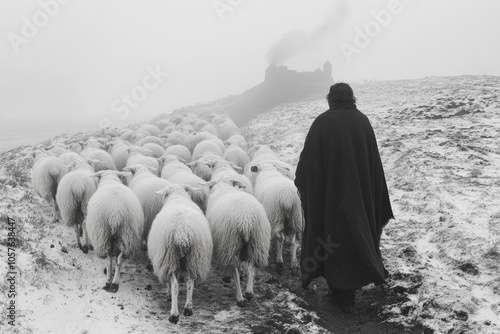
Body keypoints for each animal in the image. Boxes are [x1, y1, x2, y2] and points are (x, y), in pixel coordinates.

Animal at [147, 184, 212, 322]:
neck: (178, 197)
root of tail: (182, 232)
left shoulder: (164, 263)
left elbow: (169, 283)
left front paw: (168, 296)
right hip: (194, 258)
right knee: (190, 283)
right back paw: (188, 309)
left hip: (169, 258)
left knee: (175, 285)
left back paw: (174, 315)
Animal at [205, 177, 272, 308]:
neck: (224, 188)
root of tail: (245, 220)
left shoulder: (223, 246)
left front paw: (226, 276)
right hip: (256, 242)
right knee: (252, 266)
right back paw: (249, 292)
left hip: (231, 242)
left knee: (234, 270)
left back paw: (240, 298)